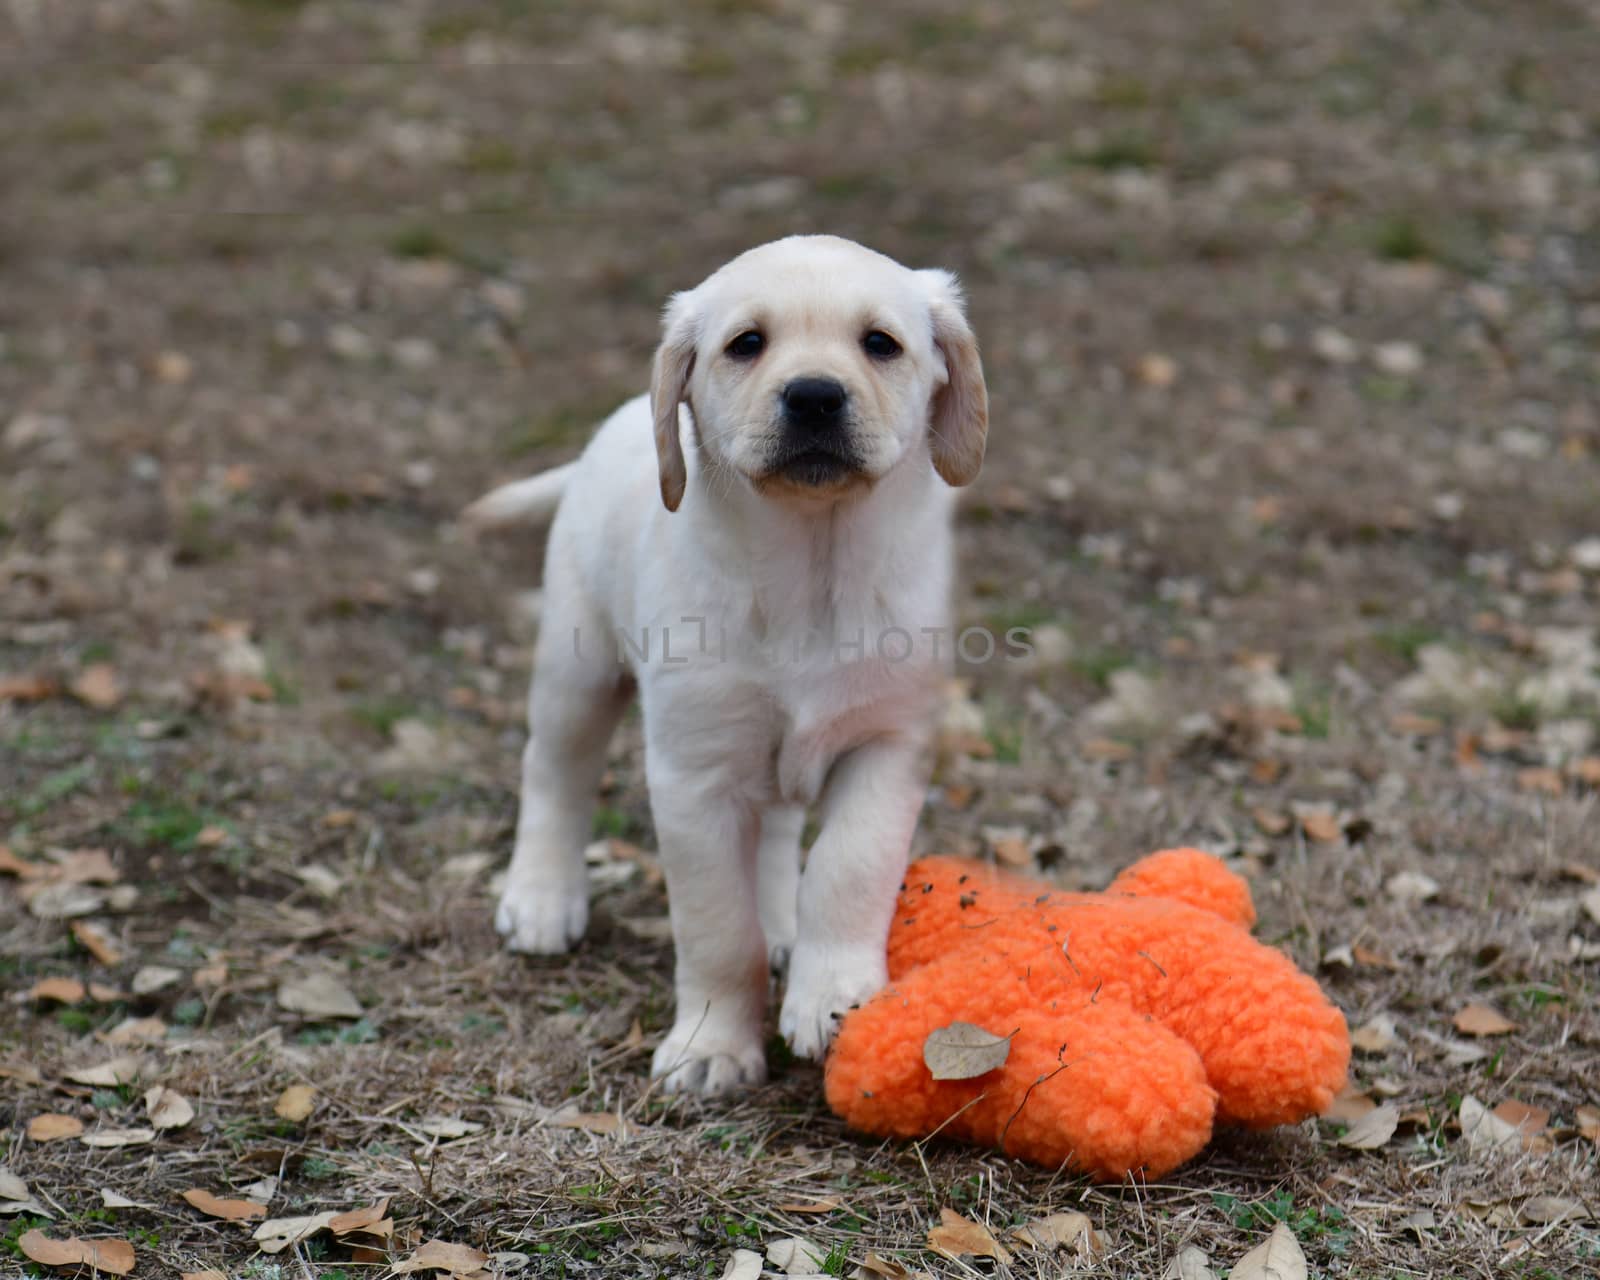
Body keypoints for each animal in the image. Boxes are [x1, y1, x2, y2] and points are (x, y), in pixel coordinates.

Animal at [467, 235, 985, 1094]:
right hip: (578, 668)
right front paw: (711, 1044)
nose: (815, 396)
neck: (810, 567)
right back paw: (541, 897)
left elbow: (847, 867)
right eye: (746, 344)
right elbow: (715, 926)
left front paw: (833, 993)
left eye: (881, 343)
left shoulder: (889, 745)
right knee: (555, 773)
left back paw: (782, 927)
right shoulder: (693, 773)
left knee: (774, 833)